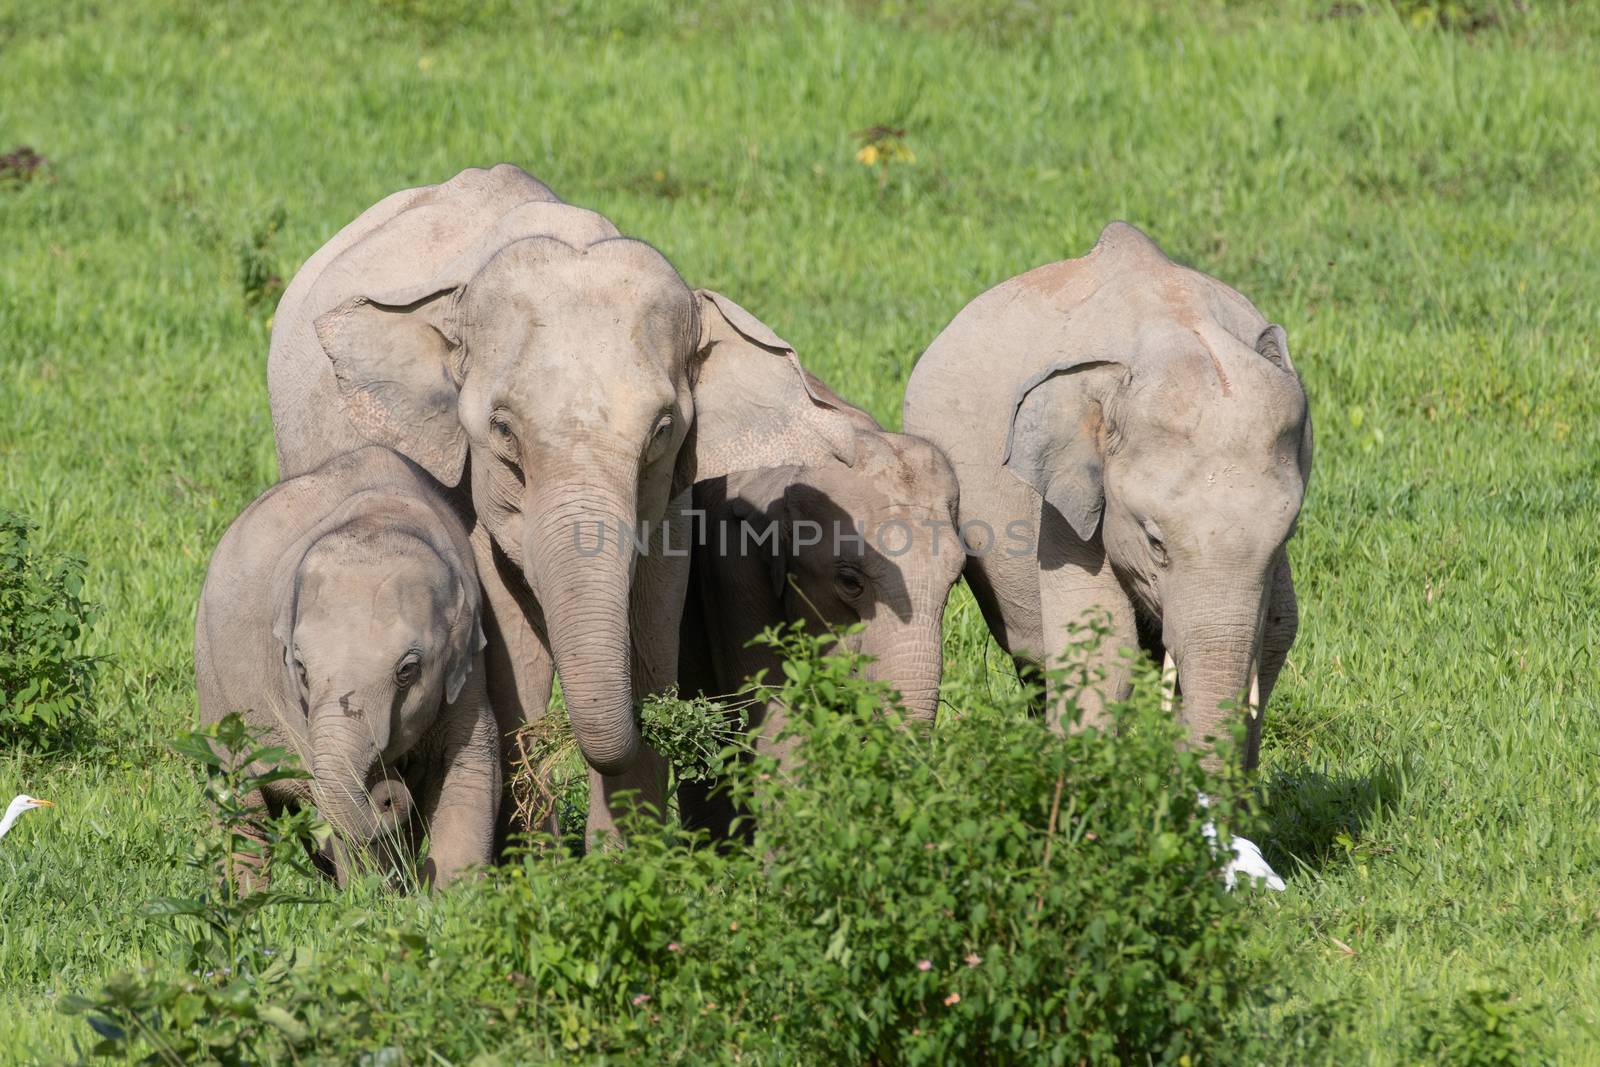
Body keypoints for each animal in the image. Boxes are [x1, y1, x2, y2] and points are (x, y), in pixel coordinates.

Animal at [199, 447, 499, 889]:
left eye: (407, 670)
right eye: (302, 670)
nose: (388, 797)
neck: (385, 516)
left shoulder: (469, 669)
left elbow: (471, 769)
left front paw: (453, 896)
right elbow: (332, 798)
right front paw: (371, 895)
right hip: (214, 689)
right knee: (241, 807)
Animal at [268, 164, 857, 844]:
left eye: (662, 428)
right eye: (501, 429)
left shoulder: (670, 495)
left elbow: (651, 624)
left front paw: (626, 857)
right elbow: (508, 641)